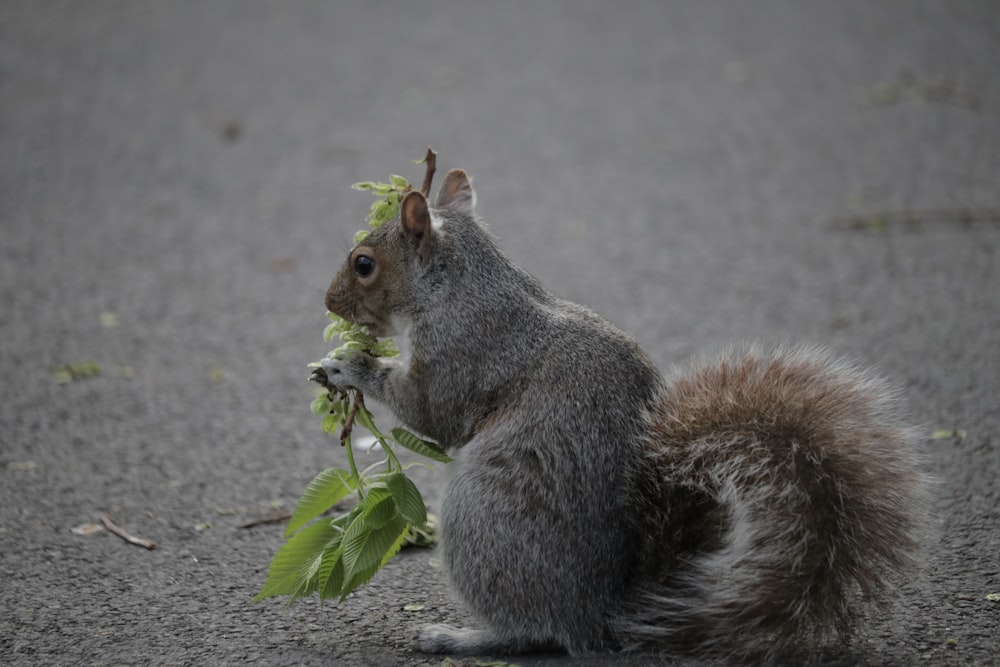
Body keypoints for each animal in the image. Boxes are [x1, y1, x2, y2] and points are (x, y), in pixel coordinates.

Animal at [314, 168, 928, 664]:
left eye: (364, 264)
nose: (328, 302)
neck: (456, 287)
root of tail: (602, 612)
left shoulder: (465, 352)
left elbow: (432, 411)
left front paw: (352, 367)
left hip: (483, 520)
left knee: (535, 632)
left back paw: (459, 638)